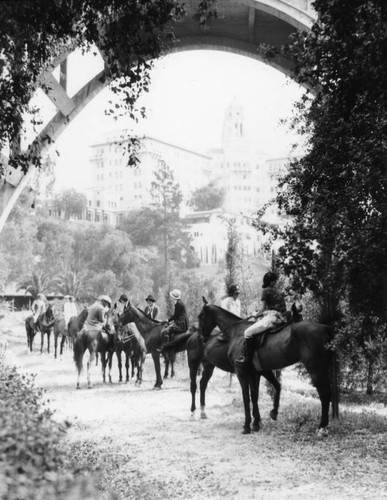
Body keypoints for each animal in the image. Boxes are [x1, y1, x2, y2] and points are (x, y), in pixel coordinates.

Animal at [197, 298, 334, 436]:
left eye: (200, 316)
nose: (202, 338)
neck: (236, 332)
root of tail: (324, 327)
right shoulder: (258, 372)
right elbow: (259, 393)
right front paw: (261, 420)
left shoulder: (241, 372)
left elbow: (246, 397)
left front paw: (247, 425)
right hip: (323, 368)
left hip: (315, 369)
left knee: (324, 394)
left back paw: (322, 428)